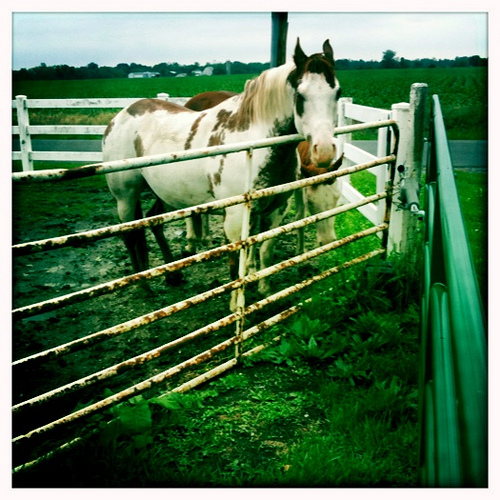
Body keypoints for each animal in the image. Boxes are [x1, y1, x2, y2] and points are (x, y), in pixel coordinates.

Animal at [103, 39, 341, 309]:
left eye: (337, 93)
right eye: (300, 95)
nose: (324, 150)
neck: (254, 141)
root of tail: (122, 115)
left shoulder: (274, 210)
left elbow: (264, 250)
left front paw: (264, 290)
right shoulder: (236, 216)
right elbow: (237, 258)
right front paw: (236, 305)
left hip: (162, 193)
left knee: (153, 221)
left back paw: (173, 276)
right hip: (126, 195)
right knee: (130, 235)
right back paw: (143, 285)